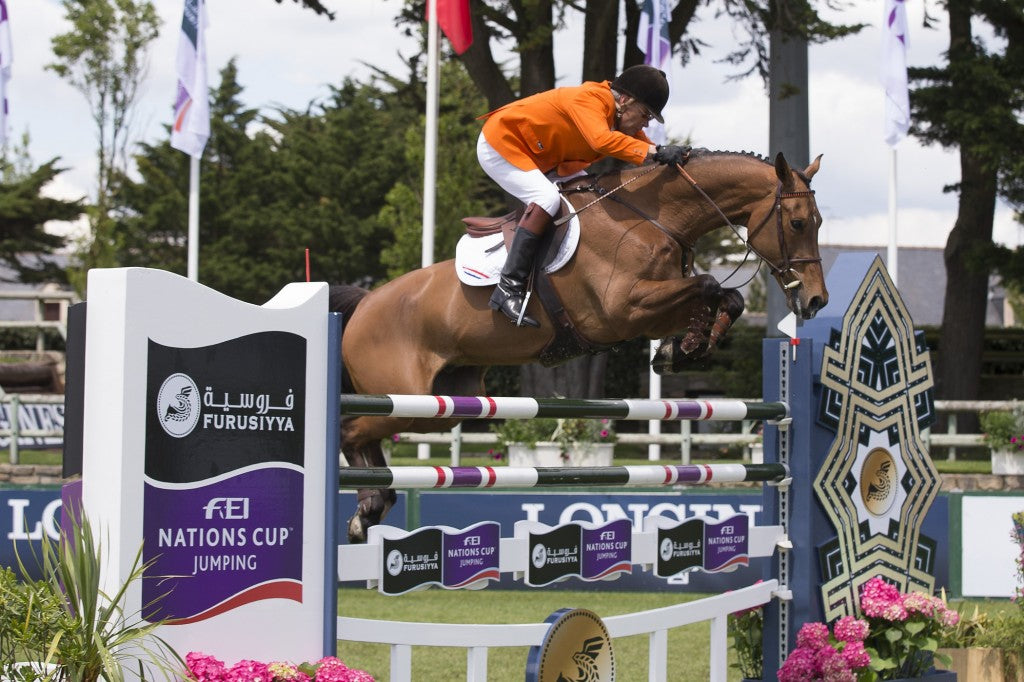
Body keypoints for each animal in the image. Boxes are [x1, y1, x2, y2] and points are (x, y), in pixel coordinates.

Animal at [331, 150, 827, 540]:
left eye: (818, 223)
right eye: (798, 222)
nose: (815, 300)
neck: (654, 217)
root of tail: (365, 302)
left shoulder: (648, 308)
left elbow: (725, 297)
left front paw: (683, 347)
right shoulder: (623, 309)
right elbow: (706, 285)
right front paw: (684, 344)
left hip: (443, 401)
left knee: (369, 437)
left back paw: (370, 507)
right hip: (407, 398)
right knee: (352, 429)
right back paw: (368, 506)